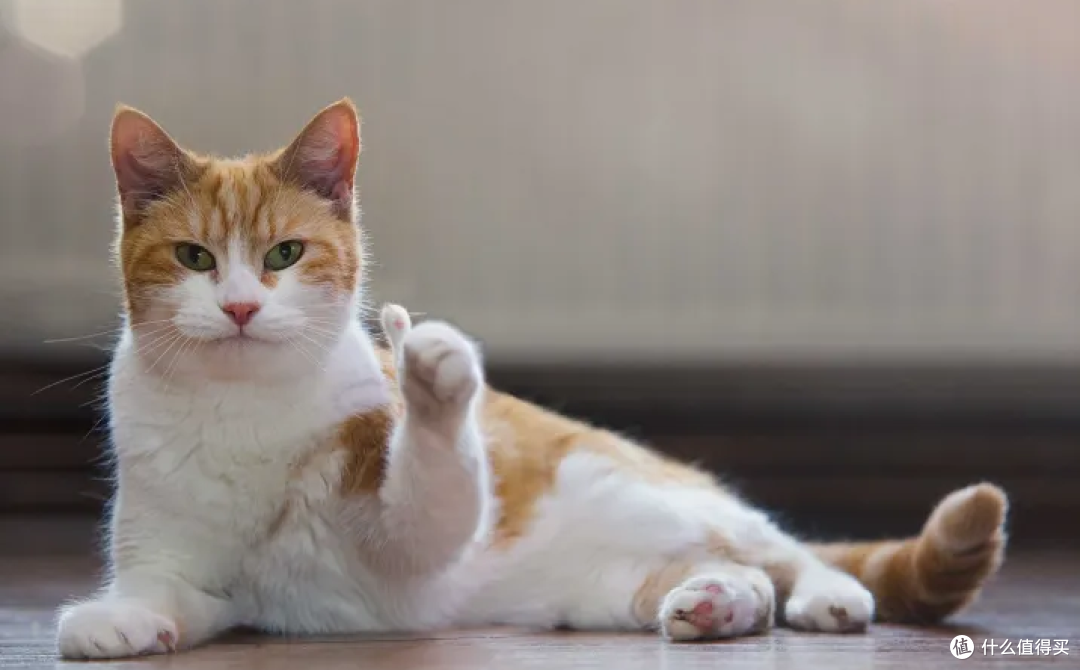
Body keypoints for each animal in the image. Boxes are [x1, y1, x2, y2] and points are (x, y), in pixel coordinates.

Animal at [56, 99, 1002, 661]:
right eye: (195, 258)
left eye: (285, 254)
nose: (243, 307)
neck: (245, 409)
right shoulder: (189, 566)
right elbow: (158, 587)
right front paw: (115, 618)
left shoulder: (407, 534)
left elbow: (433, 476)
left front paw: (428, 369)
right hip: (605, 591)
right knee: (737, 578)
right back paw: (716, 603)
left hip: (660, 493)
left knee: (785, 551)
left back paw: (828, 597)